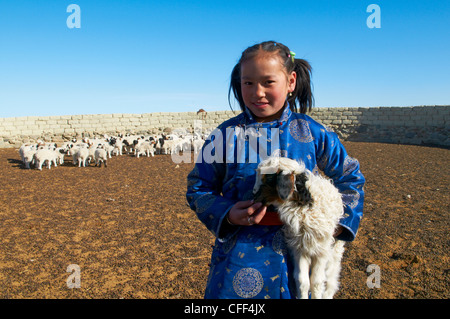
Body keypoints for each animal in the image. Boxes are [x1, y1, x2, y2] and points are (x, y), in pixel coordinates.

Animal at [253, 158, 344, 300]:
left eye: (268, 178)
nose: (253, 197)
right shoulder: (300, 249)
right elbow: (303, 281)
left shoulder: (322, 250)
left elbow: (317, 282)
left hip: (334, 253)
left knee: (330, 282)